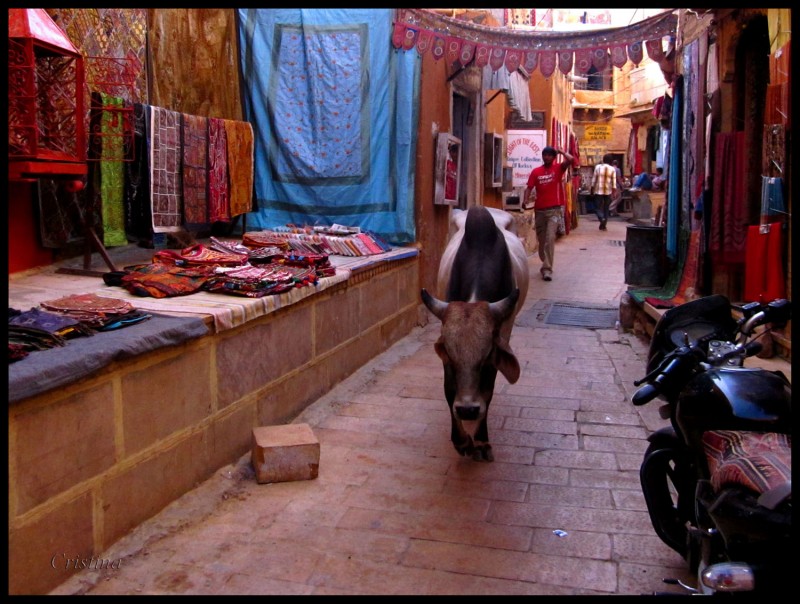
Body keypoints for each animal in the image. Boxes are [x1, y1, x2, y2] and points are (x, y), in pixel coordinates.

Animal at [422, 205, 528, 460]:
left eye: (487, 355)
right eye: (449, 354)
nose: (468, 410)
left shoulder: (502, 334)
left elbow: (488, 389)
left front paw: (480, 440)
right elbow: (449, 389)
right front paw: (461, 441)